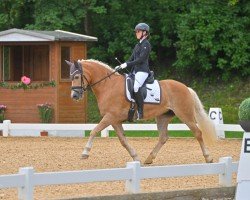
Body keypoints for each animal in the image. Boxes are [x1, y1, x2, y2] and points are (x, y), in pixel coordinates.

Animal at [66, 59, 217, 164]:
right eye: (70, 77)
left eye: (77, 77)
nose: (74, 96)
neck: (108, 85)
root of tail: (186, 87)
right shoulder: (114, 120)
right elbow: (123, 140)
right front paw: (136, 157)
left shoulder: (110, 117)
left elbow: (94, 131)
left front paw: (85, 152)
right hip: (162, 117)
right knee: (163, 137)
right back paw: (149, 159)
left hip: (185, 115)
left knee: (198, 133)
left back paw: (208, 157)